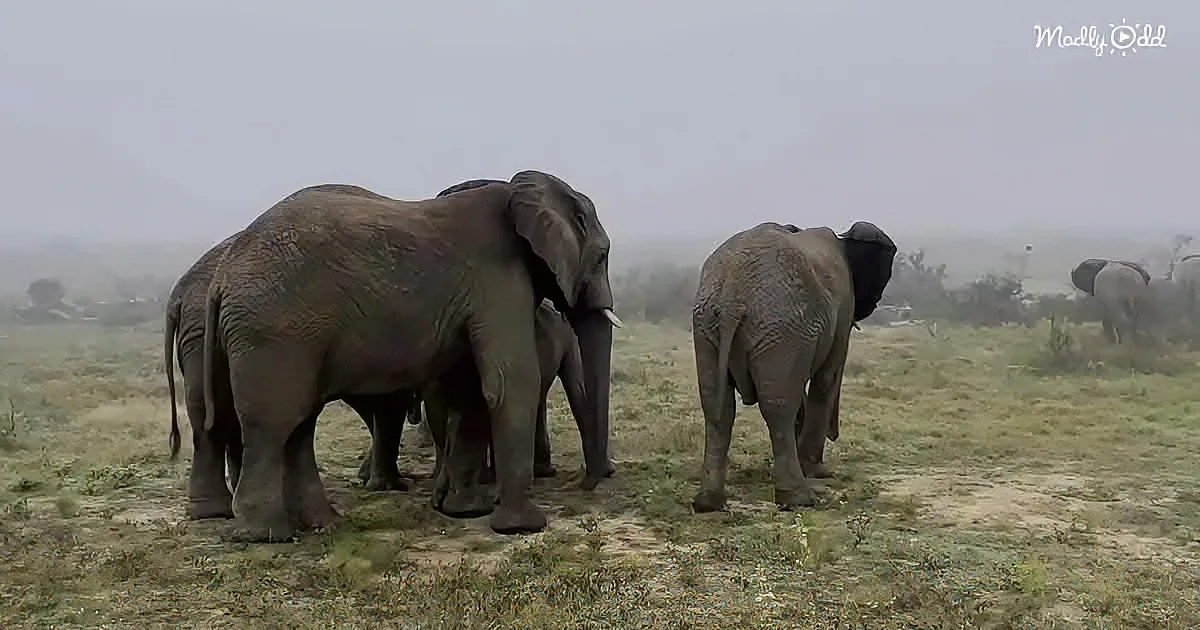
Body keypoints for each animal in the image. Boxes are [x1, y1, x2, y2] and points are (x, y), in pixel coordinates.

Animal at [200, 170, 619, 541]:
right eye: (602, 257)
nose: (589, 482)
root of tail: (221, 277)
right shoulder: (500, 278)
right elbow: (510, 381)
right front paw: (522, 527)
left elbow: (470, 391)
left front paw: (466, 511)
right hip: (274, 333)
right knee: (273, 424)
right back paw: (266, 536)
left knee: (300, 425)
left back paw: (323, 525)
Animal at [690, 221, 897, 513]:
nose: (877, 300)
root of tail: (732, 296)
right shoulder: (843, 308)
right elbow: (826, 378)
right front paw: (817, 471)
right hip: (779, 327)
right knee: (778, 407)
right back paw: (798, 499)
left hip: (708, 325)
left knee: (717, 408)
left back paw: (708, 503)